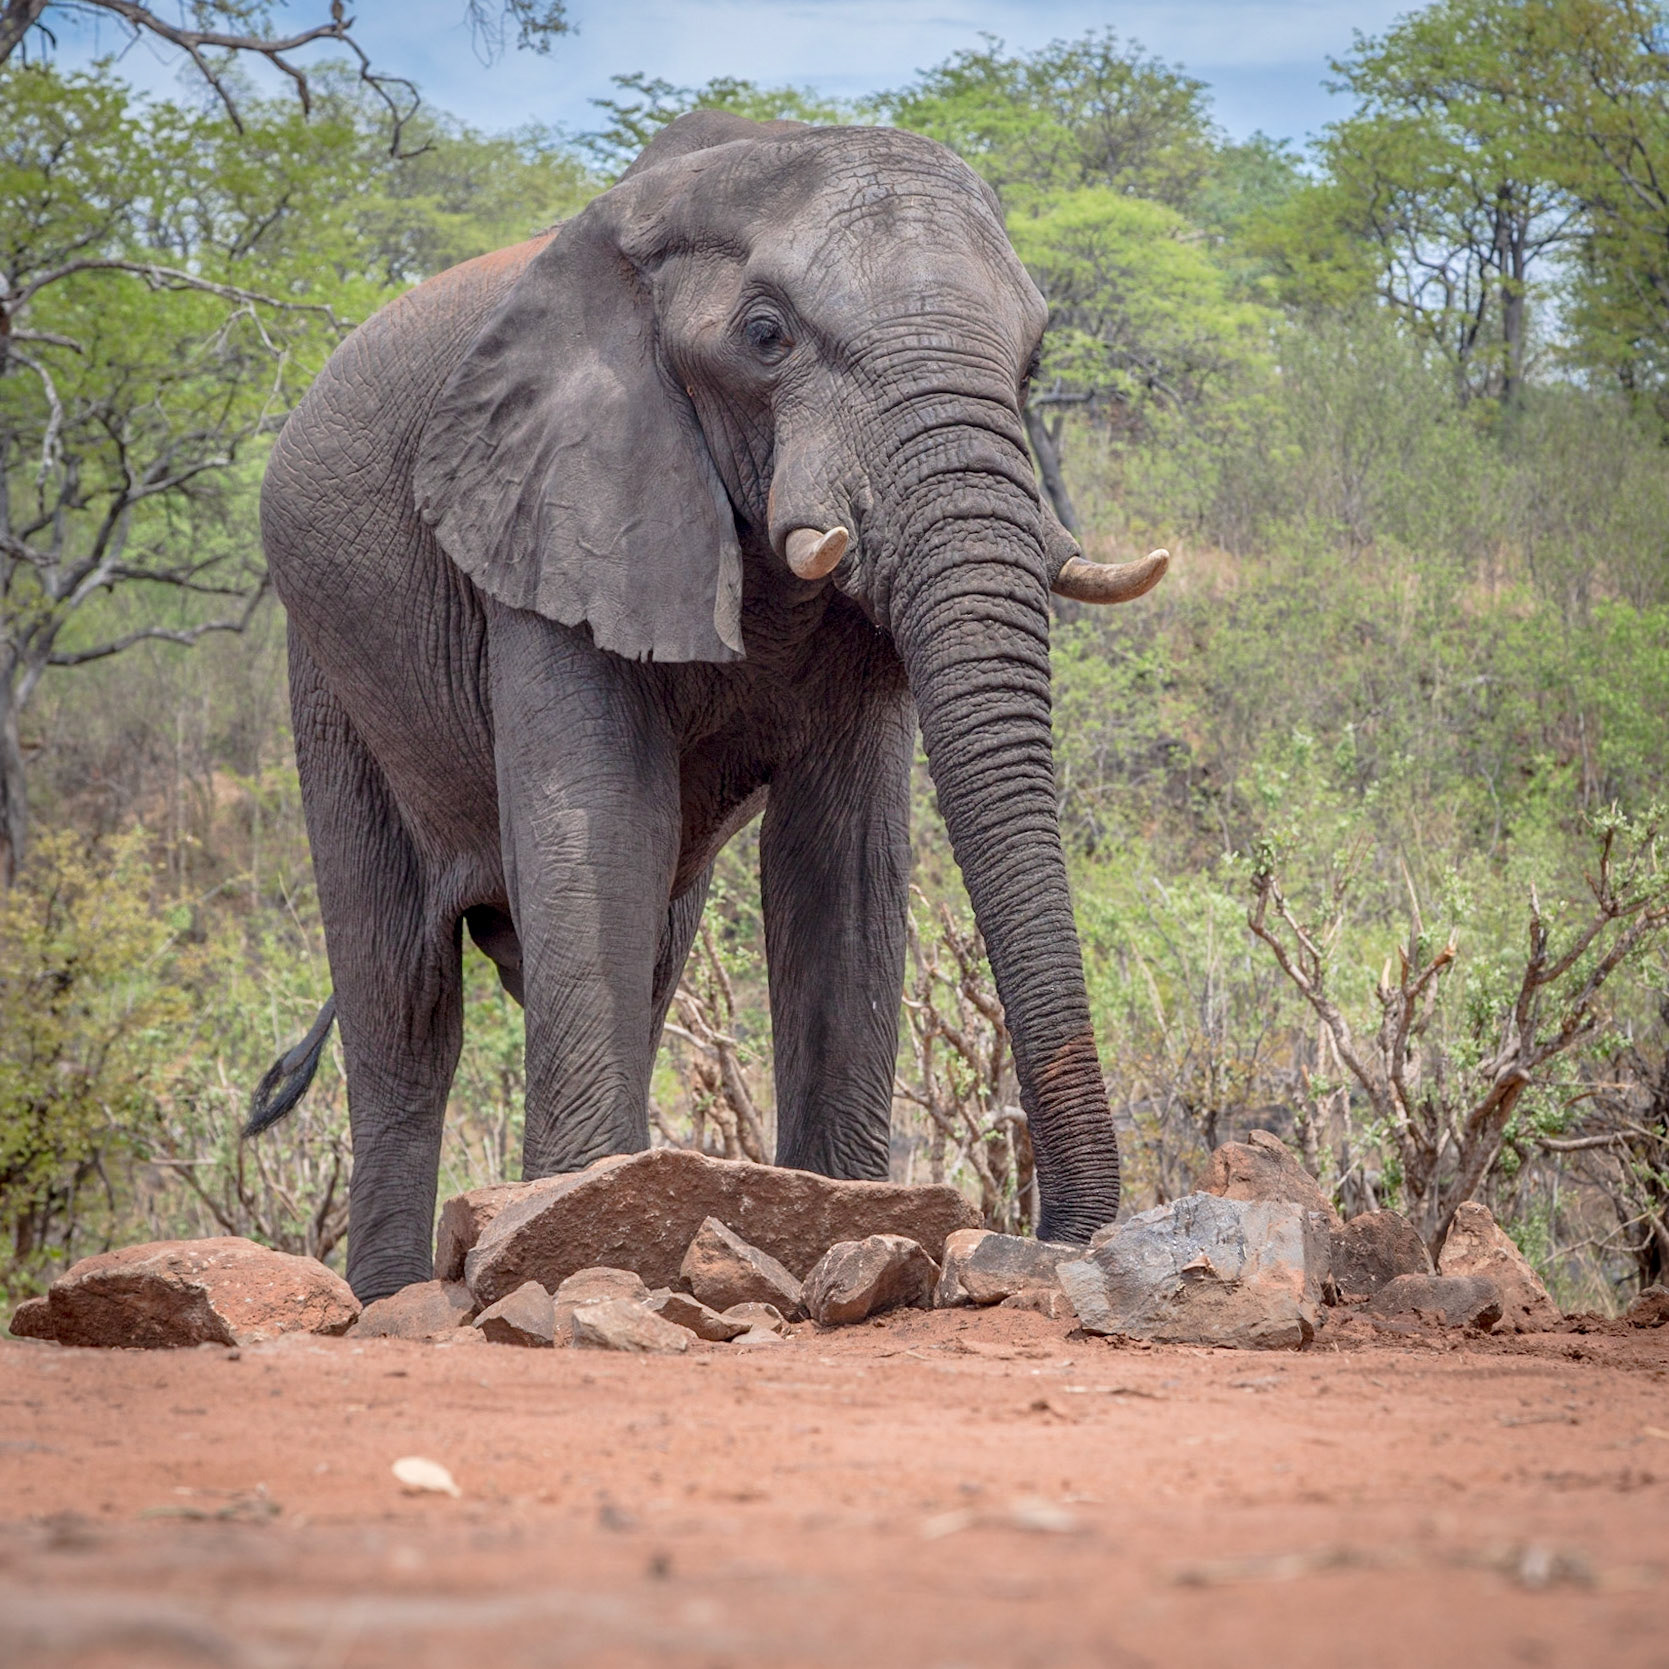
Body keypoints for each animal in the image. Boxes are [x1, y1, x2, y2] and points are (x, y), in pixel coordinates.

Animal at [251, 110, 1168, 1301]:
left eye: (1036, 360)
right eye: (766, 335)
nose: (1058, 1240)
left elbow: (841, 860)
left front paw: (837, 1221)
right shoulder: (554, 504)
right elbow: (601, 830)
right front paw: (576, 1252)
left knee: (644, 957)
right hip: (324, 666)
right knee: (404, 1001)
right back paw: (393, 1295)